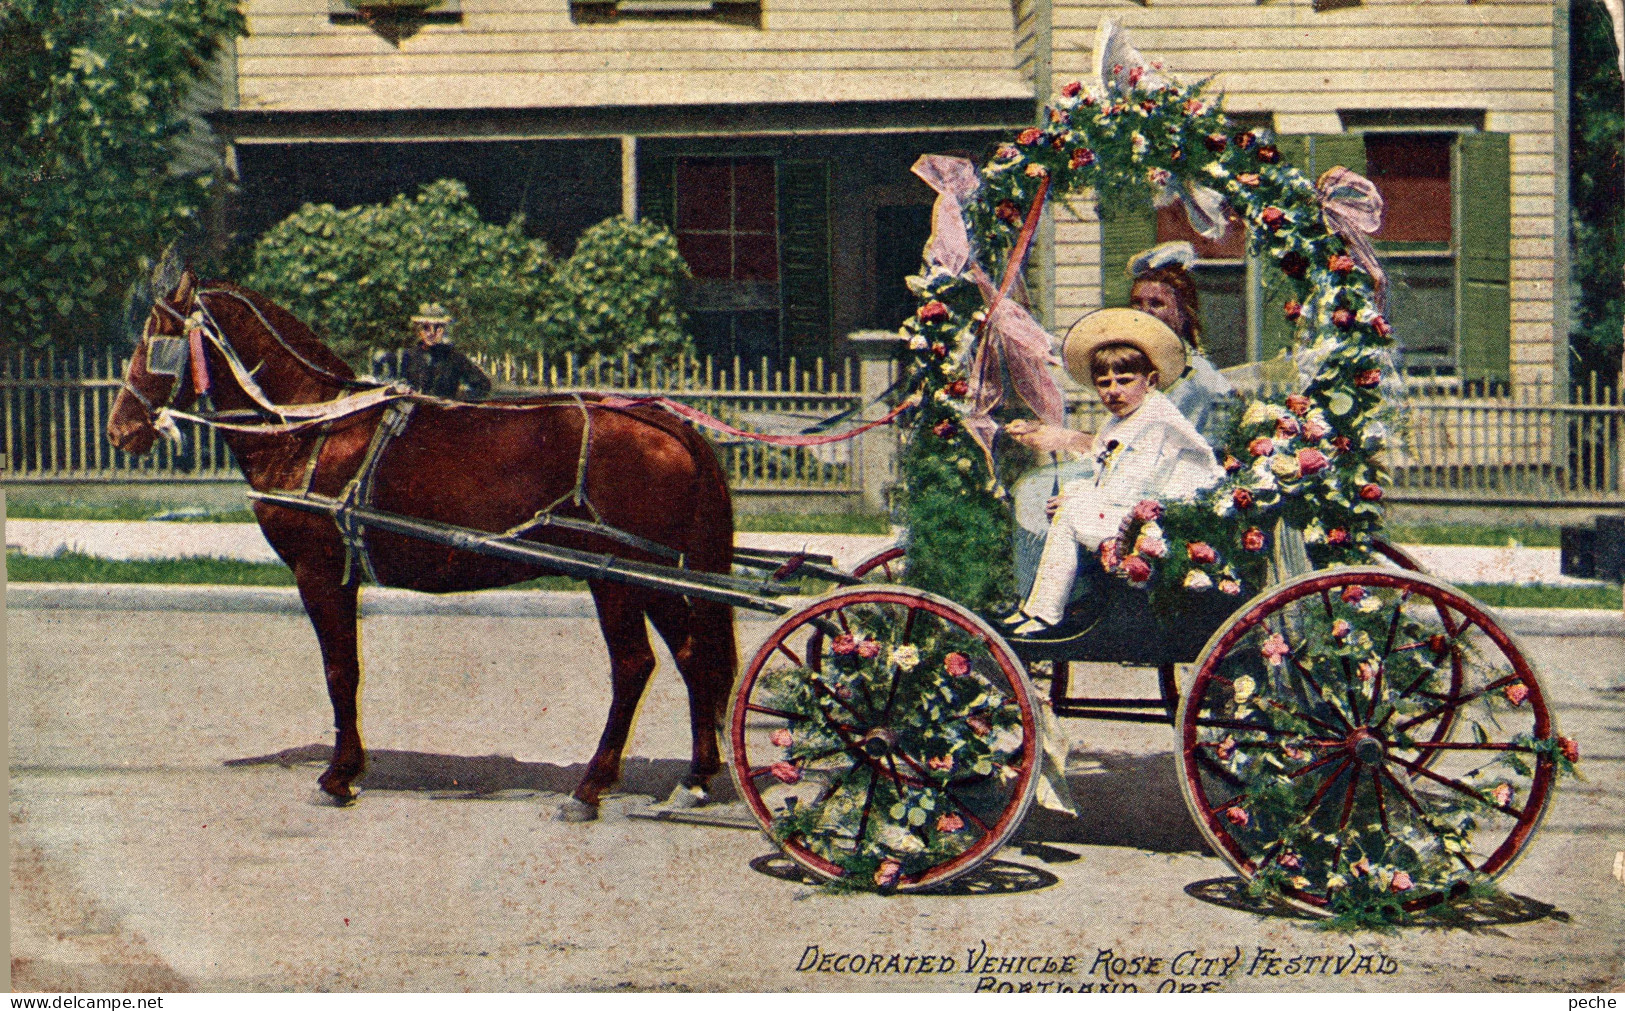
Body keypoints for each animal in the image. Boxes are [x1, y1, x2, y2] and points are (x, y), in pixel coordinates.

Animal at [114, 271, 744, 825]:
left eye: (156, 338)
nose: (121, 430)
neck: (311, 430)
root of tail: (667, 422)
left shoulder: (319, 573)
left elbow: (340, 670)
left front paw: (338, 777)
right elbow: (347, 669)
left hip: (617, 575)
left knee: (634, 666)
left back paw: (589, 789)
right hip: (655, 575)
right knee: (694, 657)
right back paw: (693, 781)